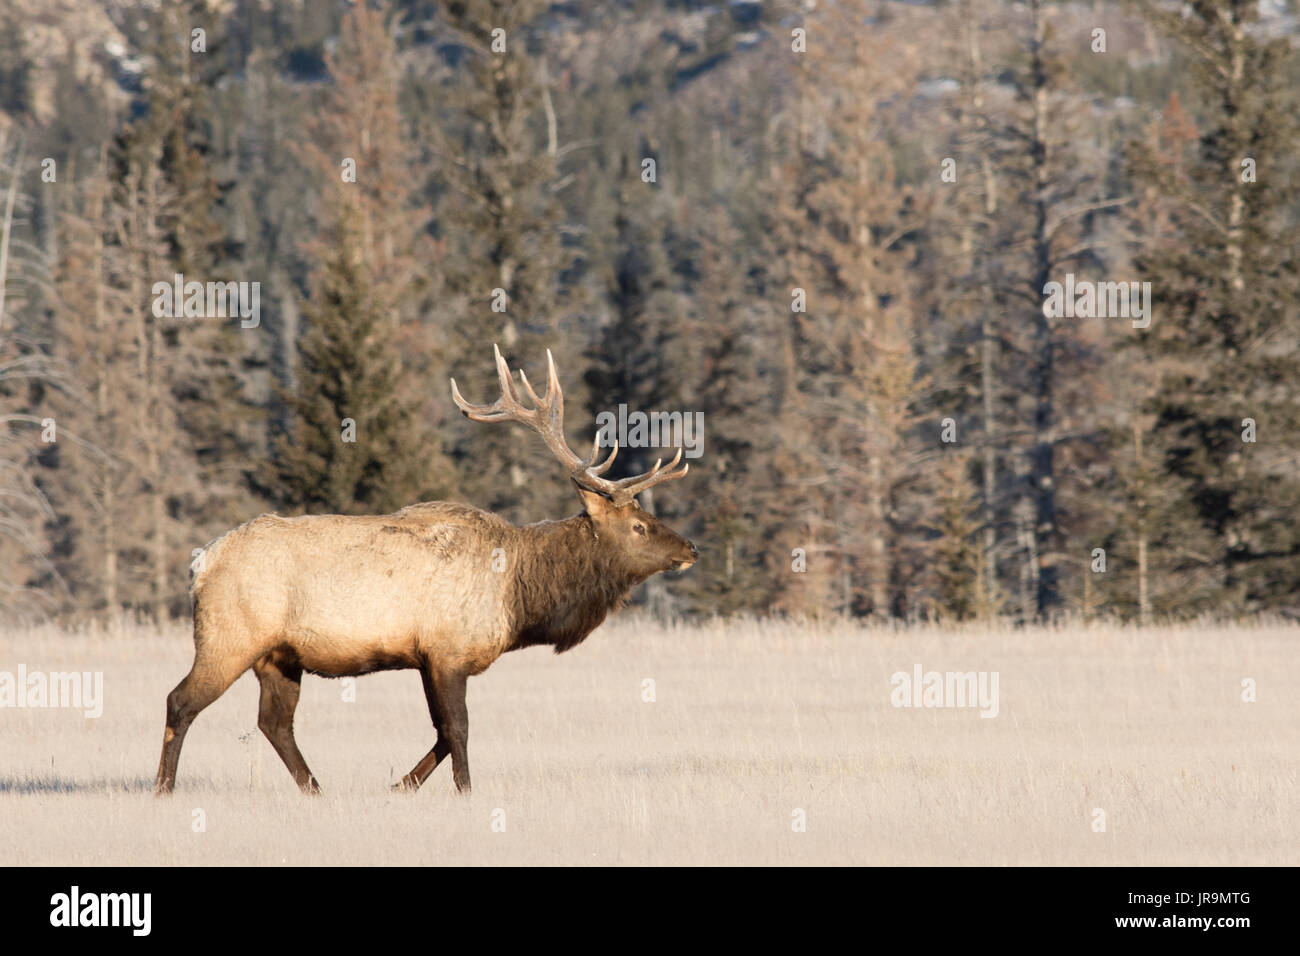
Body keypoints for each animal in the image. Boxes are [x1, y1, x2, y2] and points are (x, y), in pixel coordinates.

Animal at [150, 348, 696, 796]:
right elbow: (458, 729)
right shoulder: (447, 651)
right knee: (181, 701)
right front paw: (465, 791)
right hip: (228, 636)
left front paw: (400, 785)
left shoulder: (426, 658)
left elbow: (441, 732)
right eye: (638, 525)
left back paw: (316, 790)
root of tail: (201, 562)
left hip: (279, 655)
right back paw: (164, 788)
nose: (690, 546)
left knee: (274, 723)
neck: (519, 597)